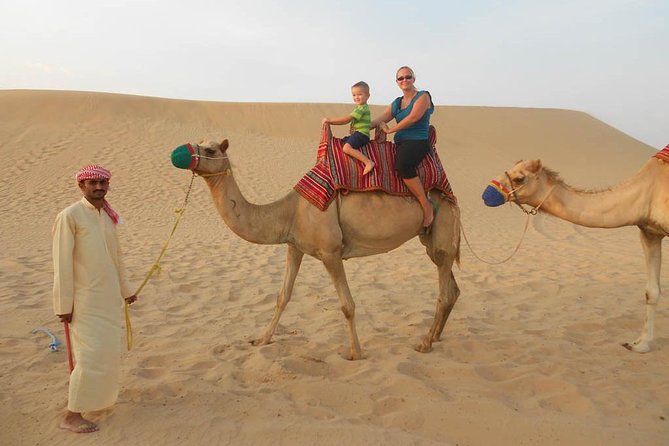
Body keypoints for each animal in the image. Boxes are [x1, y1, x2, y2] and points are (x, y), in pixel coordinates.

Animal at [170, 137, 461, 360]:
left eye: (210, 150)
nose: (180, 153)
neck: (290, 211)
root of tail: (451, 195)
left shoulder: (330, 252)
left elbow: (347, 305)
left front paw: (356, 353)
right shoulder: (294, 246)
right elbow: (282, 296)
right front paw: (262, 339)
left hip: (443, 229)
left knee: (445, 291)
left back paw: (424, 343)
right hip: (431, 241)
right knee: (452, 288)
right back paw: (435, 336)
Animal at [482, 154, 668, 352]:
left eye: (520, 178)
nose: (487, 193)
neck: (648, 190)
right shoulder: (649, 233)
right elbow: (651, 291)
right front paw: (640, 344)